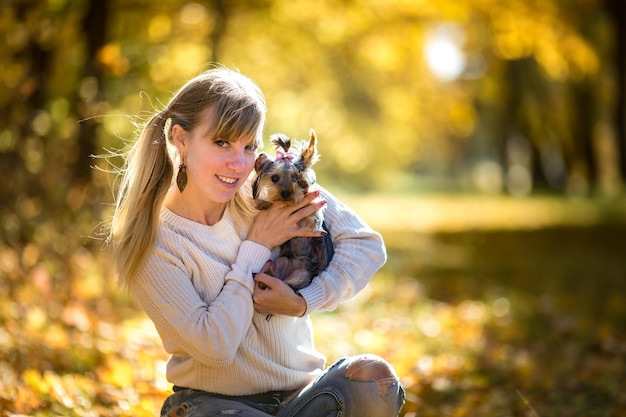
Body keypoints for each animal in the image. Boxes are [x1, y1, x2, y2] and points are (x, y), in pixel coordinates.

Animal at [251, 129, 330, 290]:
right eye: (274, 178)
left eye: (296, 177)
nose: (286, 193)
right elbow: (269, 200)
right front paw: (262, 203)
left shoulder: (312, 204)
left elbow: (313, 210)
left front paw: (305, 182)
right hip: (281, 262)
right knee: (273, 276)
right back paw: (266, 274)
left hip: (302, 275)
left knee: (289, 283)